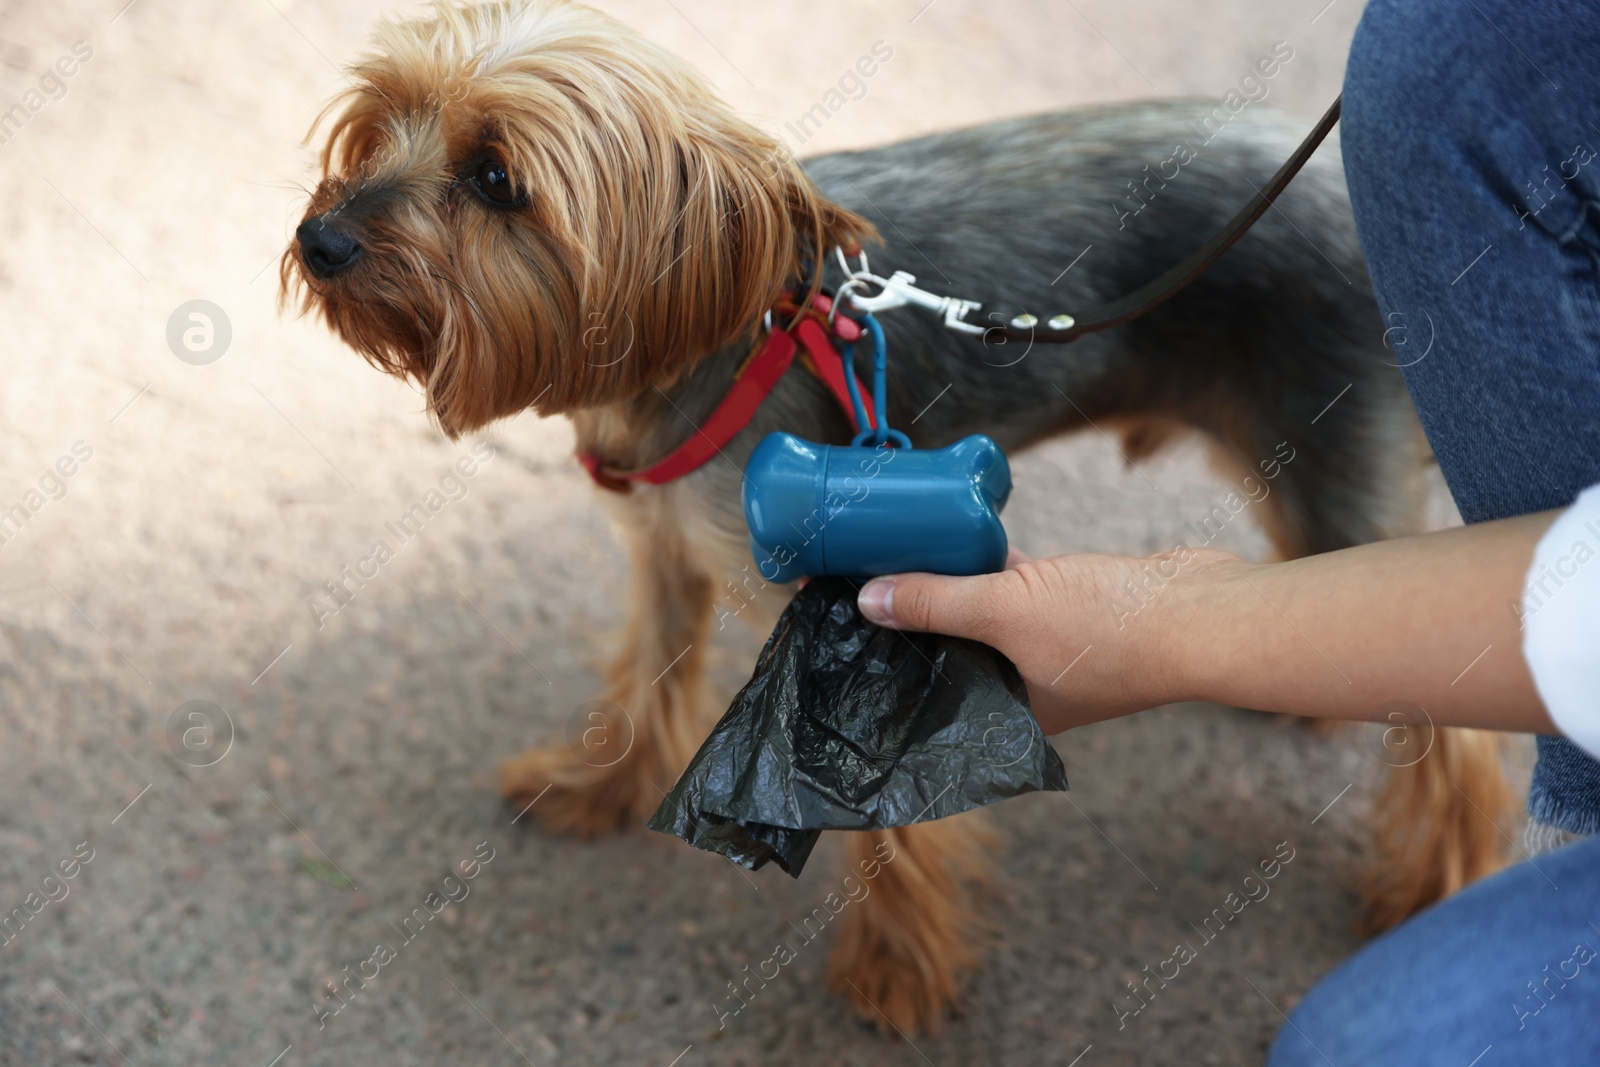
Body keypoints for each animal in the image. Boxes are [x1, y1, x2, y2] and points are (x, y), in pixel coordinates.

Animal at [284, 0, 1510, 1036]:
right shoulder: (665, 551)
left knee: (1453, 730)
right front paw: (596, 787)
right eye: (378, 127)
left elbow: (887, 805)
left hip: (1334, 461)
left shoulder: (852, 604)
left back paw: (1434, 889)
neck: (697, 341)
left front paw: (897, 970)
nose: (321, 241)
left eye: (495, 178)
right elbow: (647, 672)